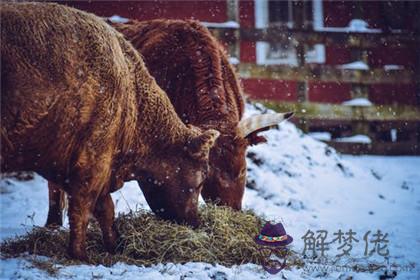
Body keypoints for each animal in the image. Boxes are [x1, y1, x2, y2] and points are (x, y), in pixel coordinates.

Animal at [1, 2, 220, 260]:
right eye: (202, 179)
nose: (196, 223)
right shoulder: (92, 162)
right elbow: (83, 209)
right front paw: (80, 255)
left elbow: (106, 209)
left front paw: (116, 246)